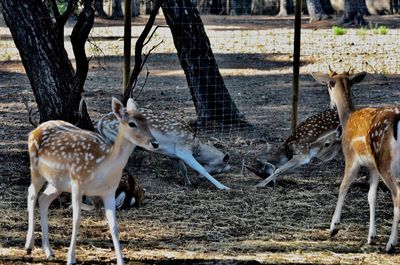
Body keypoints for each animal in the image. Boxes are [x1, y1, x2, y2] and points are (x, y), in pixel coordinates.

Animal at [23, 97, 159, 264]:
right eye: (132, 123)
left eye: (147, 122)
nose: (155, 143)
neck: (101, 166)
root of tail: (33, 131)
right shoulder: (77, 184)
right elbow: (76, 221)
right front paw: (71, 258)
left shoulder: (109, 192)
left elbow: (114, 226)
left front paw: (121, 261)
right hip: (36, 169)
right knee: (31, 194)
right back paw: (29, 245)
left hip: (57, 182)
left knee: (44, 199)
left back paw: (48, 251)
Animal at [95, 107, 231, 190]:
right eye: (220, 169)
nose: (200, 179)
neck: (195, 146)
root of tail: (100, 122)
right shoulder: (183, 151)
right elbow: (201, 168)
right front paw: (223, 187)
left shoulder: (173, 155)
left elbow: (183, 170)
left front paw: (188, 183)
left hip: (108, 140)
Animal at [312, 69, 400, 252]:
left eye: (328, 85)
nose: (331, 105)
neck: (347, 117)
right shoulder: (372, 167)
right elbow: (371, 196)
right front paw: (371, 237)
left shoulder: (351, 158)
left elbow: (343, 186)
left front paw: (333, 227)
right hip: (383, 163)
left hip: (385, 162)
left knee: (397, 195)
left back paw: (391, 244)